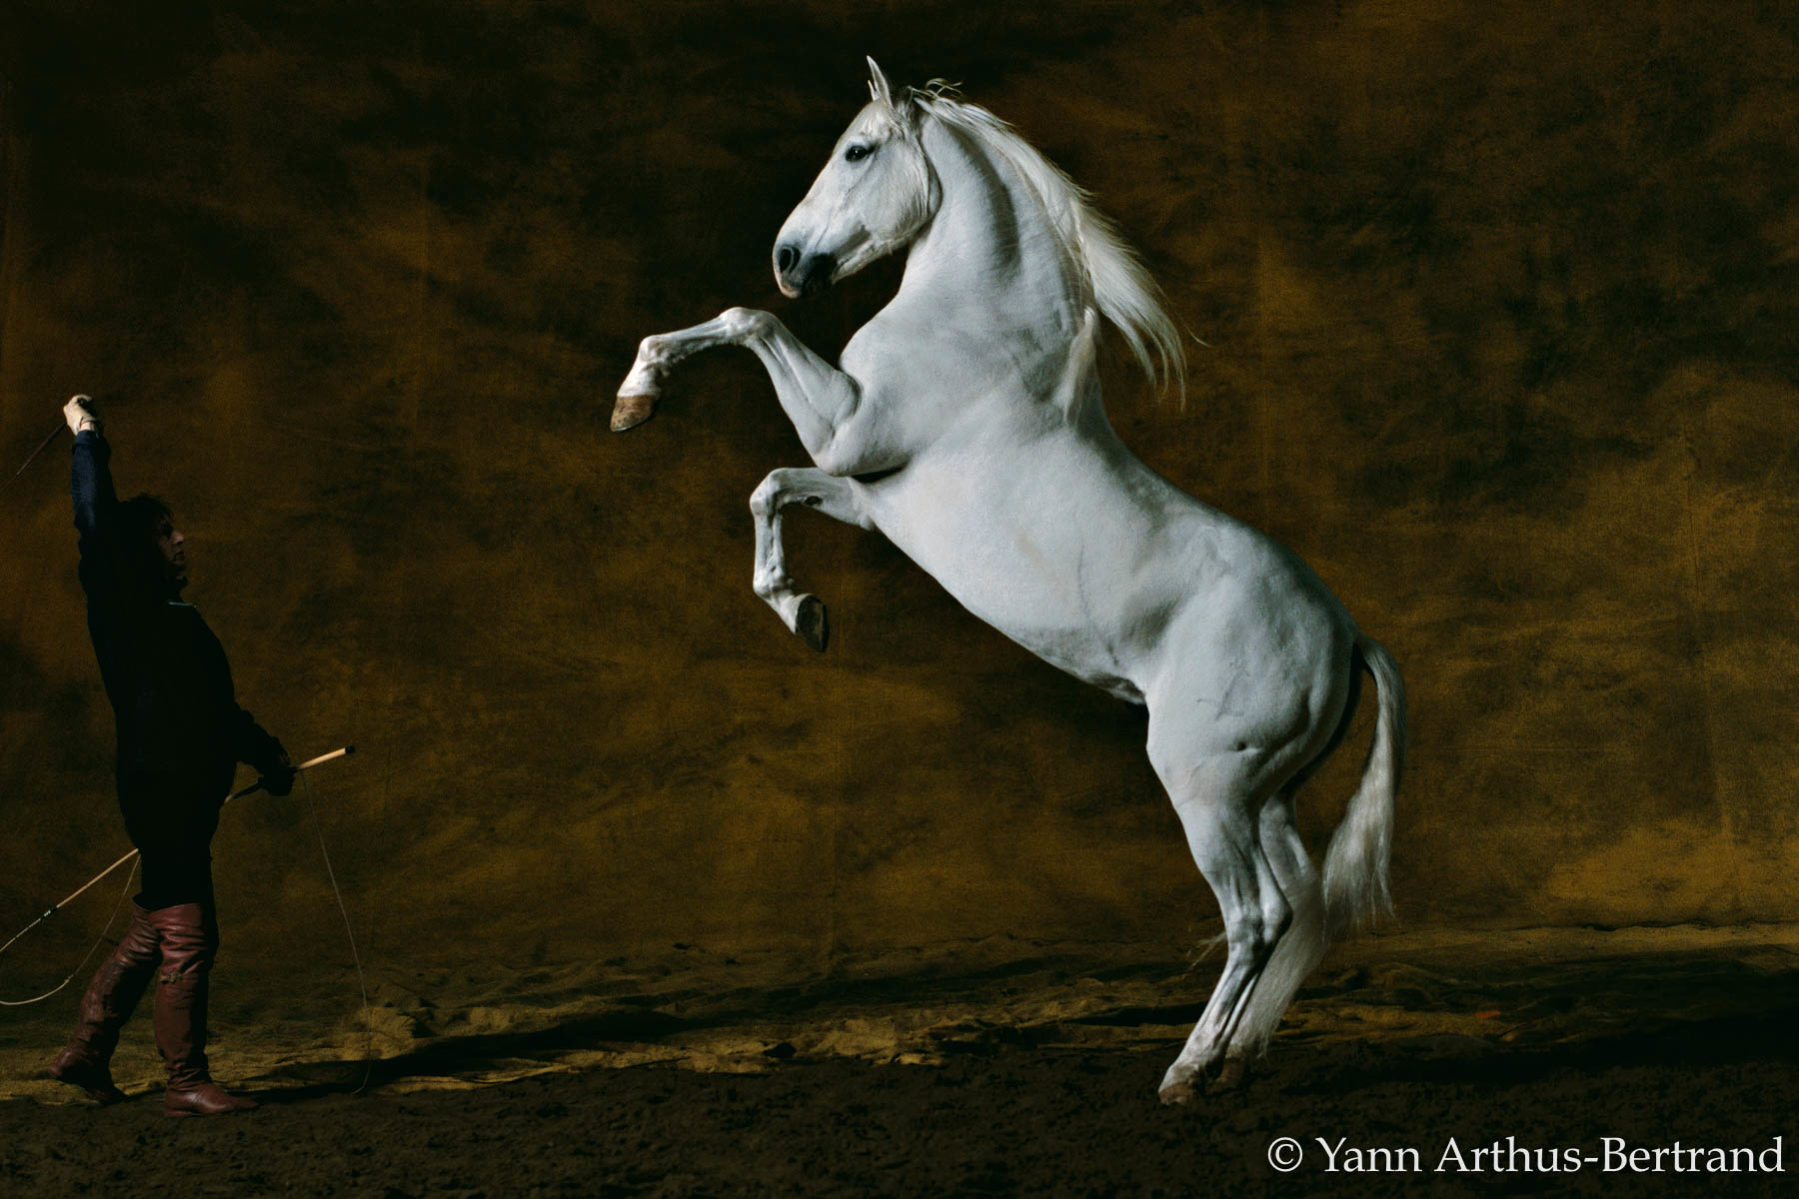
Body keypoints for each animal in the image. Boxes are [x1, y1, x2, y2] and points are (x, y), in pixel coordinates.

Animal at [612, 60, 1405, 1104]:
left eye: (856, 149)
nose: (789, 257)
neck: (976, 330)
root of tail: (1346, 635)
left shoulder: (846, 432)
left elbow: (751, 326)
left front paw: (637, 393)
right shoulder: (865, 494)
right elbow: (769, 487)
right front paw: (801, 612)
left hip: (1203, 786)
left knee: (1255, 918)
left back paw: (1188, 1071)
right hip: (1262, 796)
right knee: (1296, 910)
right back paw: (1232, 1062)